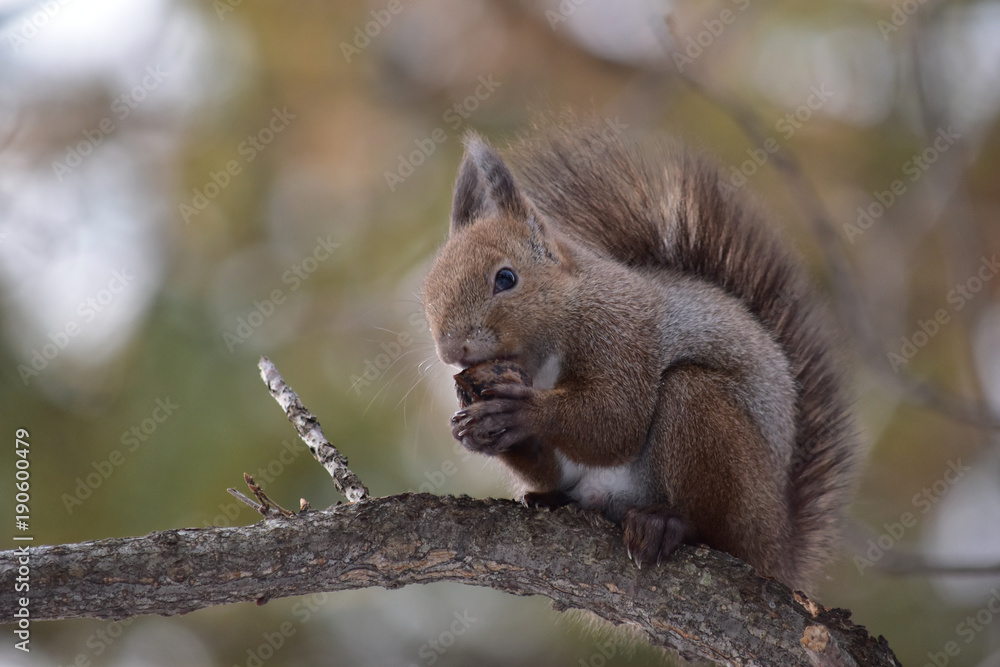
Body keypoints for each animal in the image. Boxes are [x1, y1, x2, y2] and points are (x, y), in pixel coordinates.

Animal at [420, 121, 860, 596]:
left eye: (506, 278)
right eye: (427, 290)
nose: (451, 350)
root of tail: (778, 547)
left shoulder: (621, 334)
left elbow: (618, 420)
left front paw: (522, 411)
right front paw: (474, 430)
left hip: (713, 437)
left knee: (714, 525)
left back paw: (666, 523)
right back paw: (551, 499)